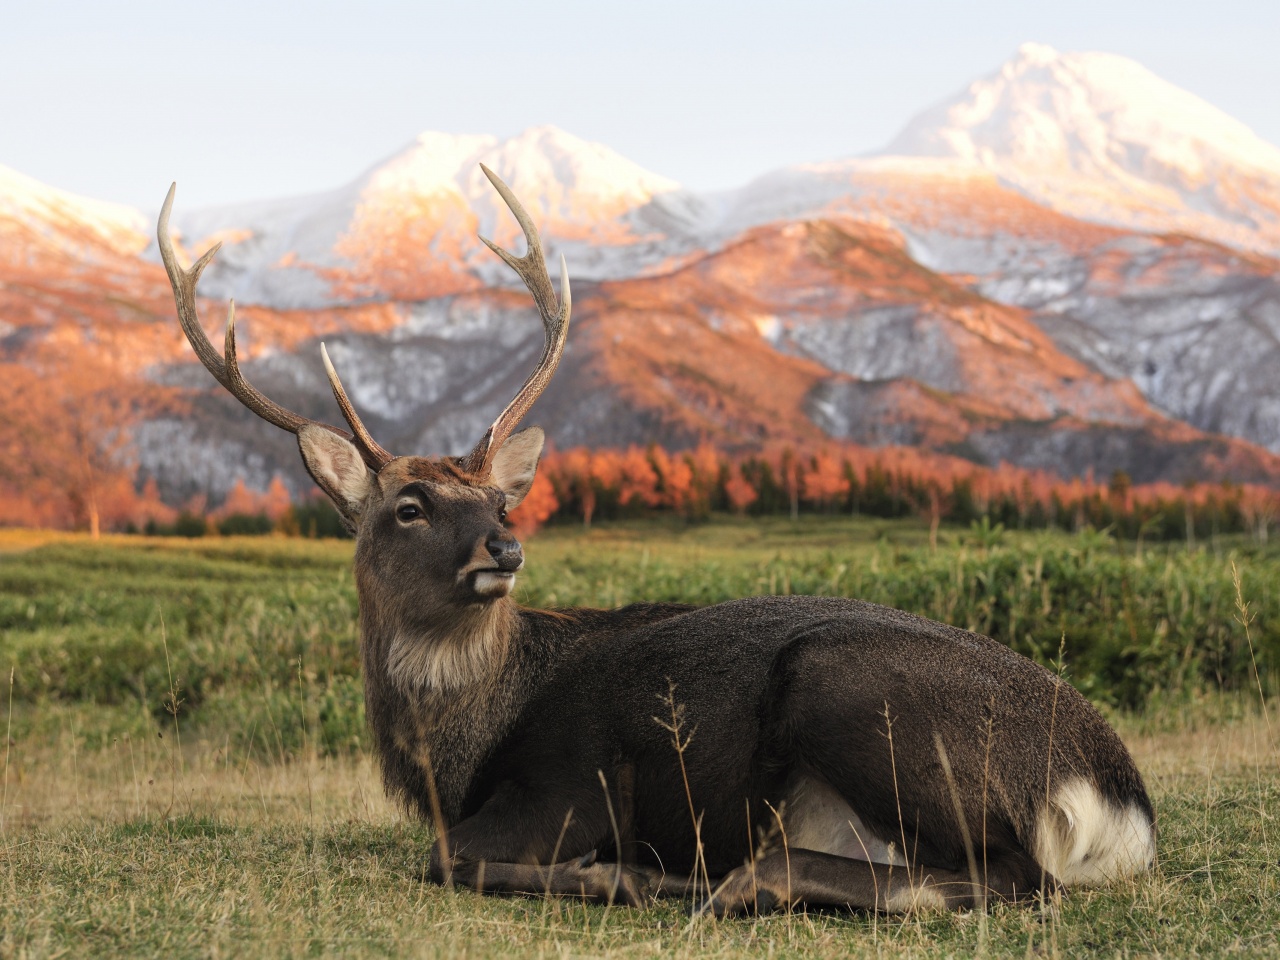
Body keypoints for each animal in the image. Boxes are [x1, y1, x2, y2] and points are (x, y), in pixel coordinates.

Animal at [154, 168, 1157, 921]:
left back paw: (713, 880)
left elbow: (443, 859)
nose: (502, 550)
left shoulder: (569, 785)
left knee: (1013, 877)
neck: (458, 753)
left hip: (851, 689)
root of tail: (1119, 799)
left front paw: (615, 874)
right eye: (408, 505)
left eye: (499, 500)